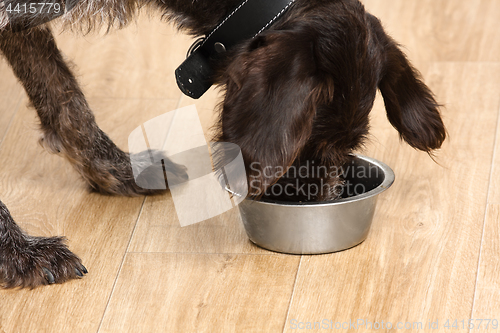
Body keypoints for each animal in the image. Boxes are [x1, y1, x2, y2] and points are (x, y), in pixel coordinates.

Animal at [0, 0, 446, 288]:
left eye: (348, 145)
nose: (318, 203)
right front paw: (18, 255)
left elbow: (61, 91)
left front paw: (114, 170)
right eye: (311, 143)